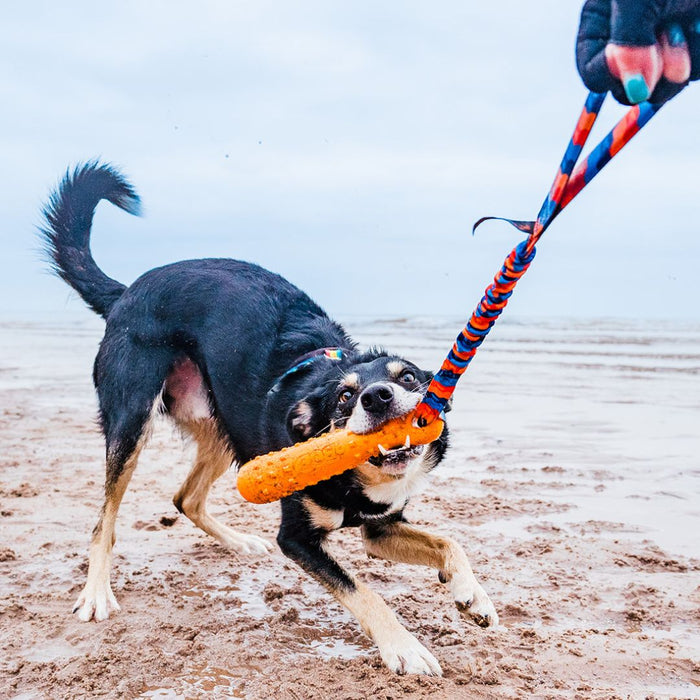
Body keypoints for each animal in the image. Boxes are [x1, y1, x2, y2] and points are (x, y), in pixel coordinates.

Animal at [41, 161, 498, 676]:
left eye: (409, 378)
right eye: (345, 396)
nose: (378, 397)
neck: (353, 479)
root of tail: (126, 292)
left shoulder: (379, 530)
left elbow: (448, 542)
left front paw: (473, 596)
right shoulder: (297, 539)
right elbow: (362, 592)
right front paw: (404, 647)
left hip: (224, 426)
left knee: (185, 498)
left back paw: (238, 542)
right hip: (131, 420)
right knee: (106, 519)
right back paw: (96, 593)